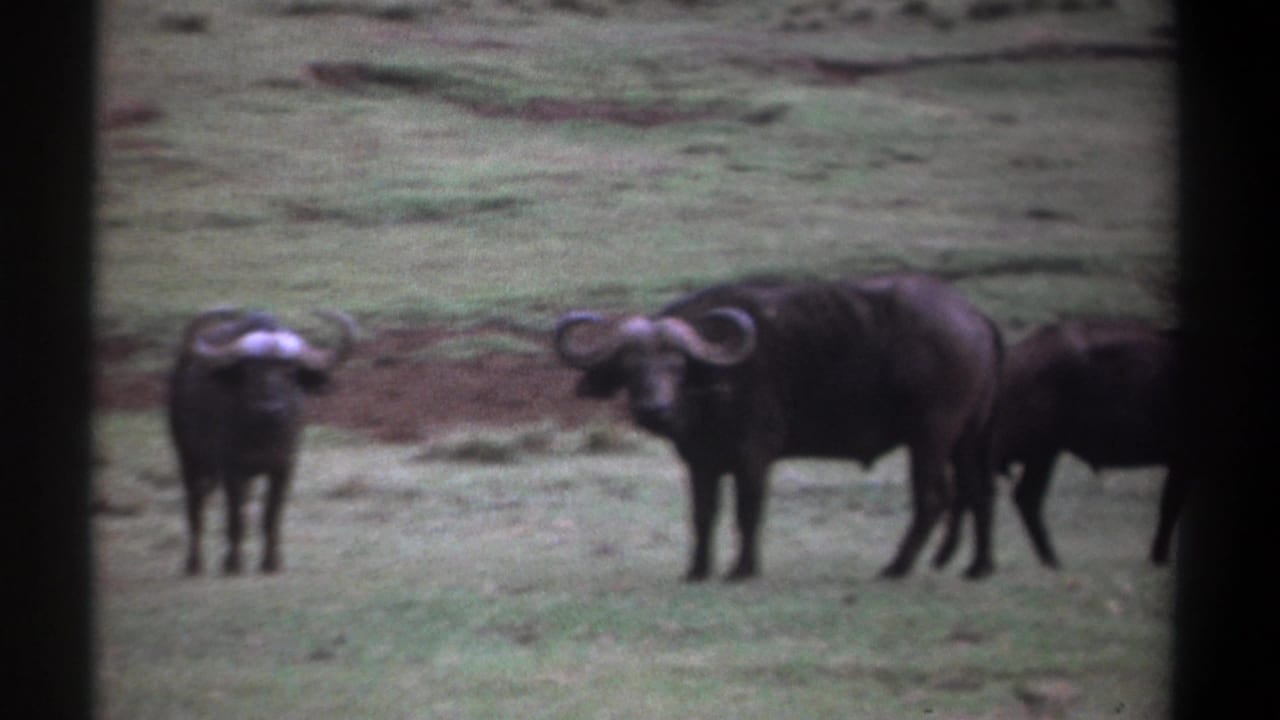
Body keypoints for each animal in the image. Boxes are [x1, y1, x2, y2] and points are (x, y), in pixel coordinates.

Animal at [168, 307, 358, 575]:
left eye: (289, 373)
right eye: (250, 372)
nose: (270, 409)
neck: (263, 435)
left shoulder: (284, 468)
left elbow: (271, 515)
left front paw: (271, 562)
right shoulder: (231, 469)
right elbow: (234, 516)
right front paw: (232, 564)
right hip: (188, 458)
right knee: (195, 506)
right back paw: (194, 564)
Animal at [554, 274, 1004, 581]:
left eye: (676, 366)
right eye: (630, 366)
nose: (653, 408)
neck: (717, 385)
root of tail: (974, 316)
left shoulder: (754, 457)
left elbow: (748, 511)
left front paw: (742, 570)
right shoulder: (701, 462)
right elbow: (703, 514)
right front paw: (697, 571)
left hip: (931, 436)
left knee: (933, 498)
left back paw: (897, 566)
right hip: (969, 438)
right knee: (976, 491)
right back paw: (977, 566)